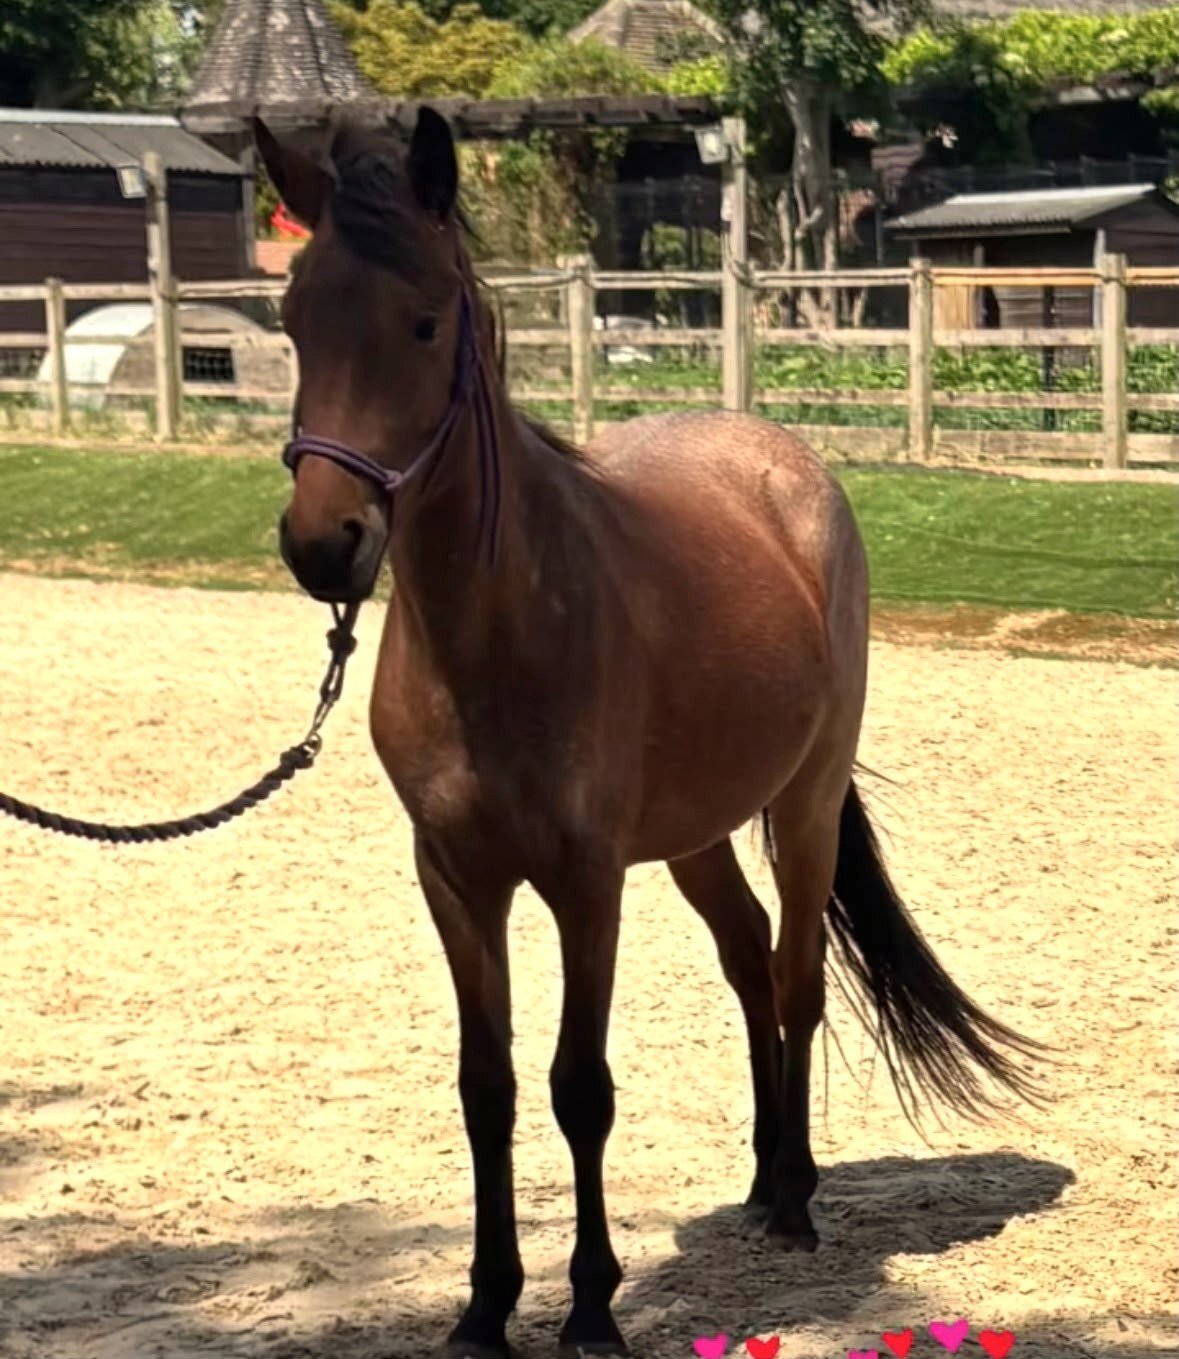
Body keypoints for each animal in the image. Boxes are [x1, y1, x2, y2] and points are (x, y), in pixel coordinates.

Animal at [253, 109, 1042, 1359]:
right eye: (294, 321)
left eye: (424, 320)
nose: (324, 542)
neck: (499, 631)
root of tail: (785, 463)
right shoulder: (455, 880)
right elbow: (487, 1086)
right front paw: (484, 1307)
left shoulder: (587, 884)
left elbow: (581, 1087)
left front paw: (589, 1307)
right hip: (696, 835)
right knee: (748, 959)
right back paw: (763, 1181)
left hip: (801, 806)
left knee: (795, 975)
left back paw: (798, 1201)